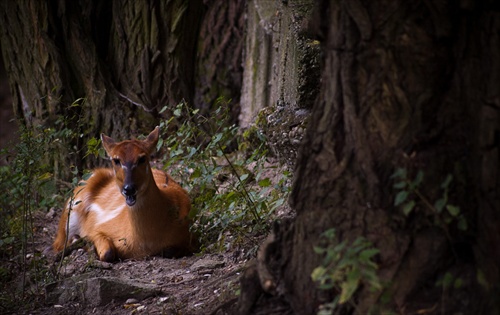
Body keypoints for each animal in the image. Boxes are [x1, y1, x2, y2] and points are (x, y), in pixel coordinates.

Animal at [53, 127, 195, 262]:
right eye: (116, 160)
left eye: (142, 158)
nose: (129, 189)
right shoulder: (97, 229)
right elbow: (107, 252)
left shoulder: (186, 238)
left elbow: (170, 251)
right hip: (71, 210)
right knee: (58, 244)